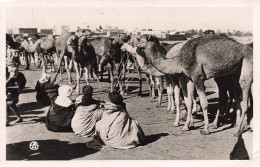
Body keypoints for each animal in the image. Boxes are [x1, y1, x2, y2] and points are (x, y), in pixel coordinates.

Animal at [125, 34, 253, 136]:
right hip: (233, 74)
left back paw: (236, 131)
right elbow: (188, 101)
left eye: (138, 38)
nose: (127, 43)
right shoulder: (189, 78)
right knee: (237, 97)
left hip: (246, 65)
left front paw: (205, 129)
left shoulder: (197, 76)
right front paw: (186, 126)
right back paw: (239, 126)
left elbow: (204, 103)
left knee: (243, 99)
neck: (178, 60)